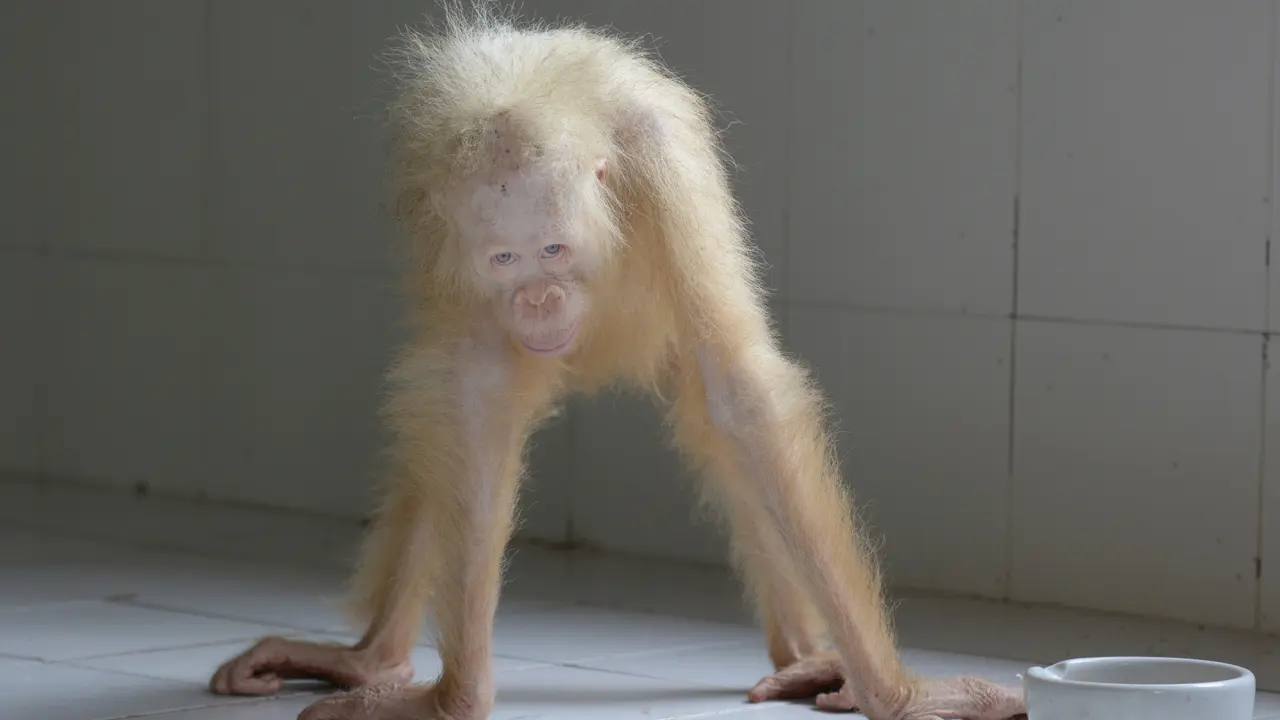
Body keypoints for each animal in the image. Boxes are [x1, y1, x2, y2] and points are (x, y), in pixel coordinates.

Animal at [207, 4, 1026, 719]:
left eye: (553, 251)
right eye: (505, 259)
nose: (538, 301)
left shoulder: (660, 160)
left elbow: (738, 394)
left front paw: (900, 697)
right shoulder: (448, 233)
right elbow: (473, 402)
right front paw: (455, 698)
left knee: (718, 420)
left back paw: (813, 661)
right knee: (437, 419)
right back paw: (370, 659)